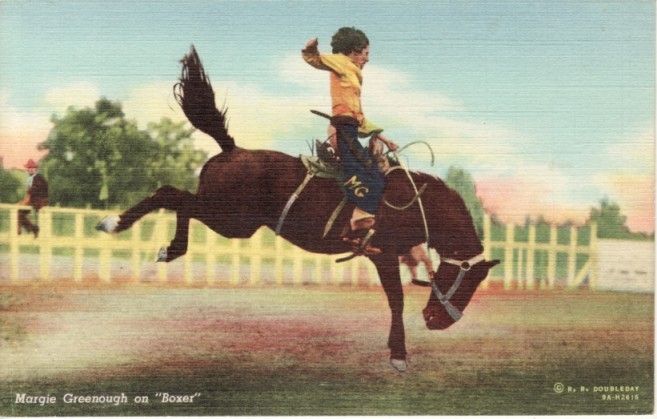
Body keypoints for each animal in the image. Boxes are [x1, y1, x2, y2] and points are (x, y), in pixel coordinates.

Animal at [96, 46, 498, 374]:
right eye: (467, 280)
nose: (435, 320)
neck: (417, 203)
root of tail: (232, 148)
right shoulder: (382, 252)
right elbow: (396, 300)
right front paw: (398, 355)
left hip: (229, 219)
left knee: (178, 201)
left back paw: (164, 247)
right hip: (230, 218)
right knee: (173, 196)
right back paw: (115, 224)